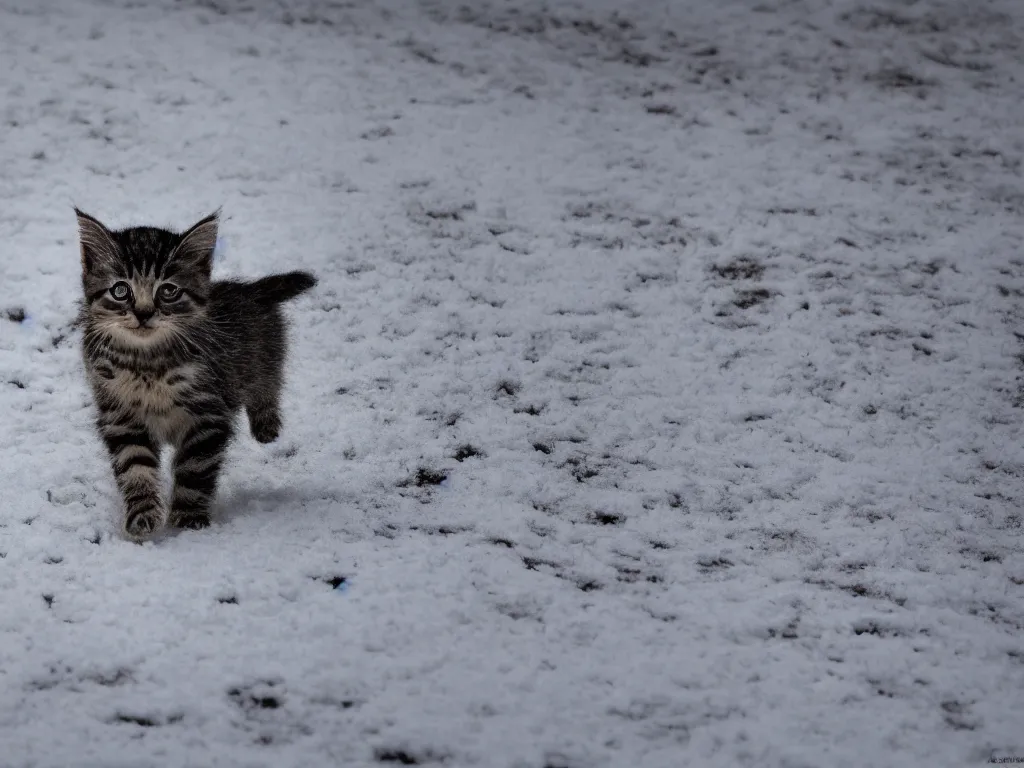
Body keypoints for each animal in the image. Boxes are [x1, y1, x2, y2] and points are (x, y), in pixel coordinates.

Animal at [74, 208, 315, 540]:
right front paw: (143, 514)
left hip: (261, 357)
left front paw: (188, 519)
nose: (144, 313)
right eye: (120, 290)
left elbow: (194, 470)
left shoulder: (208, 415)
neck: (147, 363)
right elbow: (135, 467)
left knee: (267, 382)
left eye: (168, 290)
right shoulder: (120, 417)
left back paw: (266, 426)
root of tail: (247, 291)